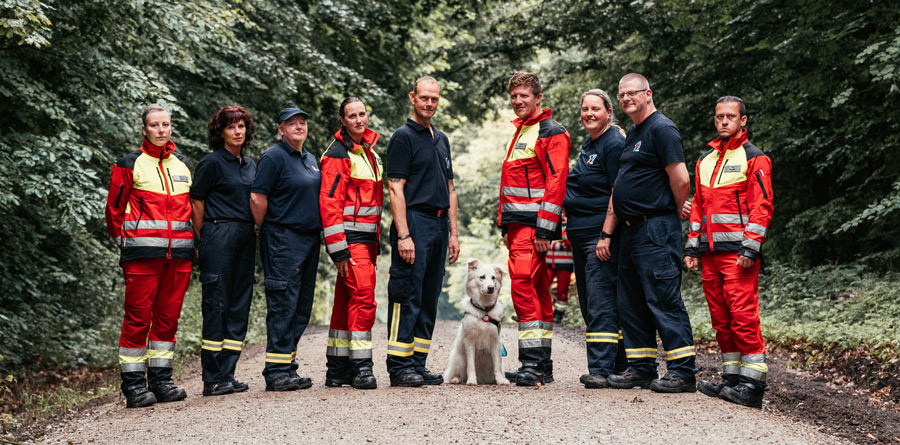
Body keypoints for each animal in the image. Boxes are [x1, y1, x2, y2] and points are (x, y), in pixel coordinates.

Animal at [444, 256, 510, 386]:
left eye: (493, 278)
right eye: (482, 277)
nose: (491, 287)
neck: (484, 311)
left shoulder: (496, 342)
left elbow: (497, 365)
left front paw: (500, 380)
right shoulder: (469, 342)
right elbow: (471, 366)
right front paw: (471, 380)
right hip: (459, 359)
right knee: (458, 374)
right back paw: (456, 379)